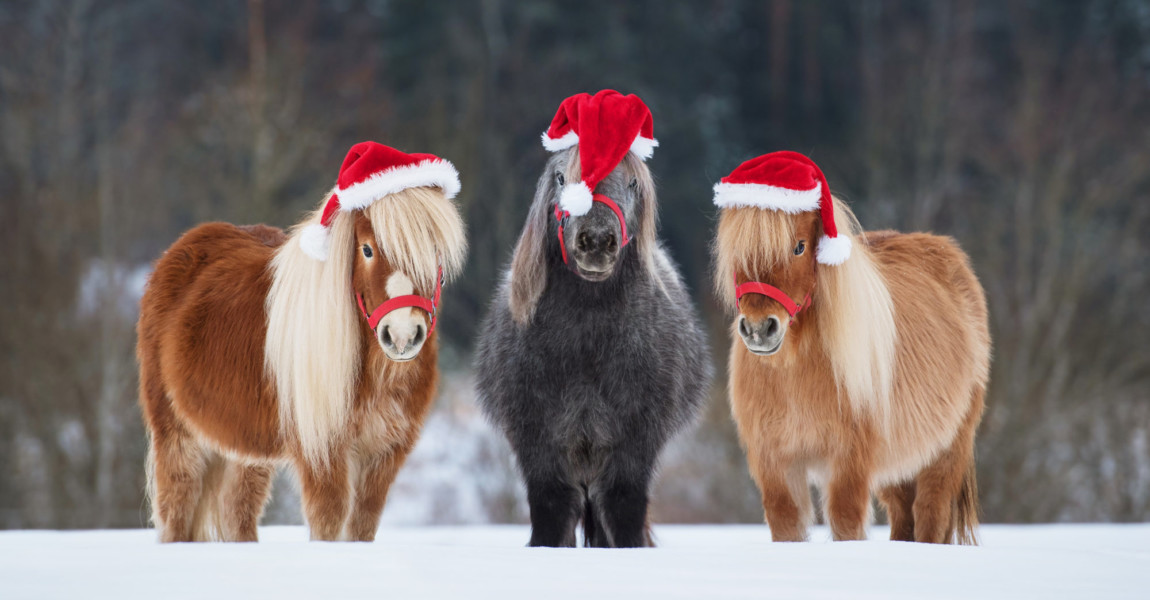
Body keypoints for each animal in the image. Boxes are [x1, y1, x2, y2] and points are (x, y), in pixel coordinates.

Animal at [138, 142, 466, 540]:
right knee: (177, 514)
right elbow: (329, 521)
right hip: (177, 436)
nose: (402, 335)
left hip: (244, 451)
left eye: (433, 249)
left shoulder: (384, 454)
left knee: (236, 512)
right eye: (367, 249)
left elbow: (362, 524)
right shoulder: (322, 451)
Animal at [473, 147, 708, 544]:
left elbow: (623, 511)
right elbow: (551, 514)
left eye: (632, 181)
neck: (586, 345)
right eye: (561, 178)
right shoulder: (539, 446)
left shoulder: (634, 446)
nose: (596, 241)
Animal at [708, 151, 989, 544]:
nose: (760, 330)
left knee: (930, 515)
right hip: (897, 468)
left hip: (946, 451)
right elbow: (786, 524)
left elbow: (845, 523)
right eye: (738, 250)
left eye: (799, 246)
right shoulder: (775, 463)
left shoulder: (849, 462)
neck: (795, 373)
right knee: (904, 516)